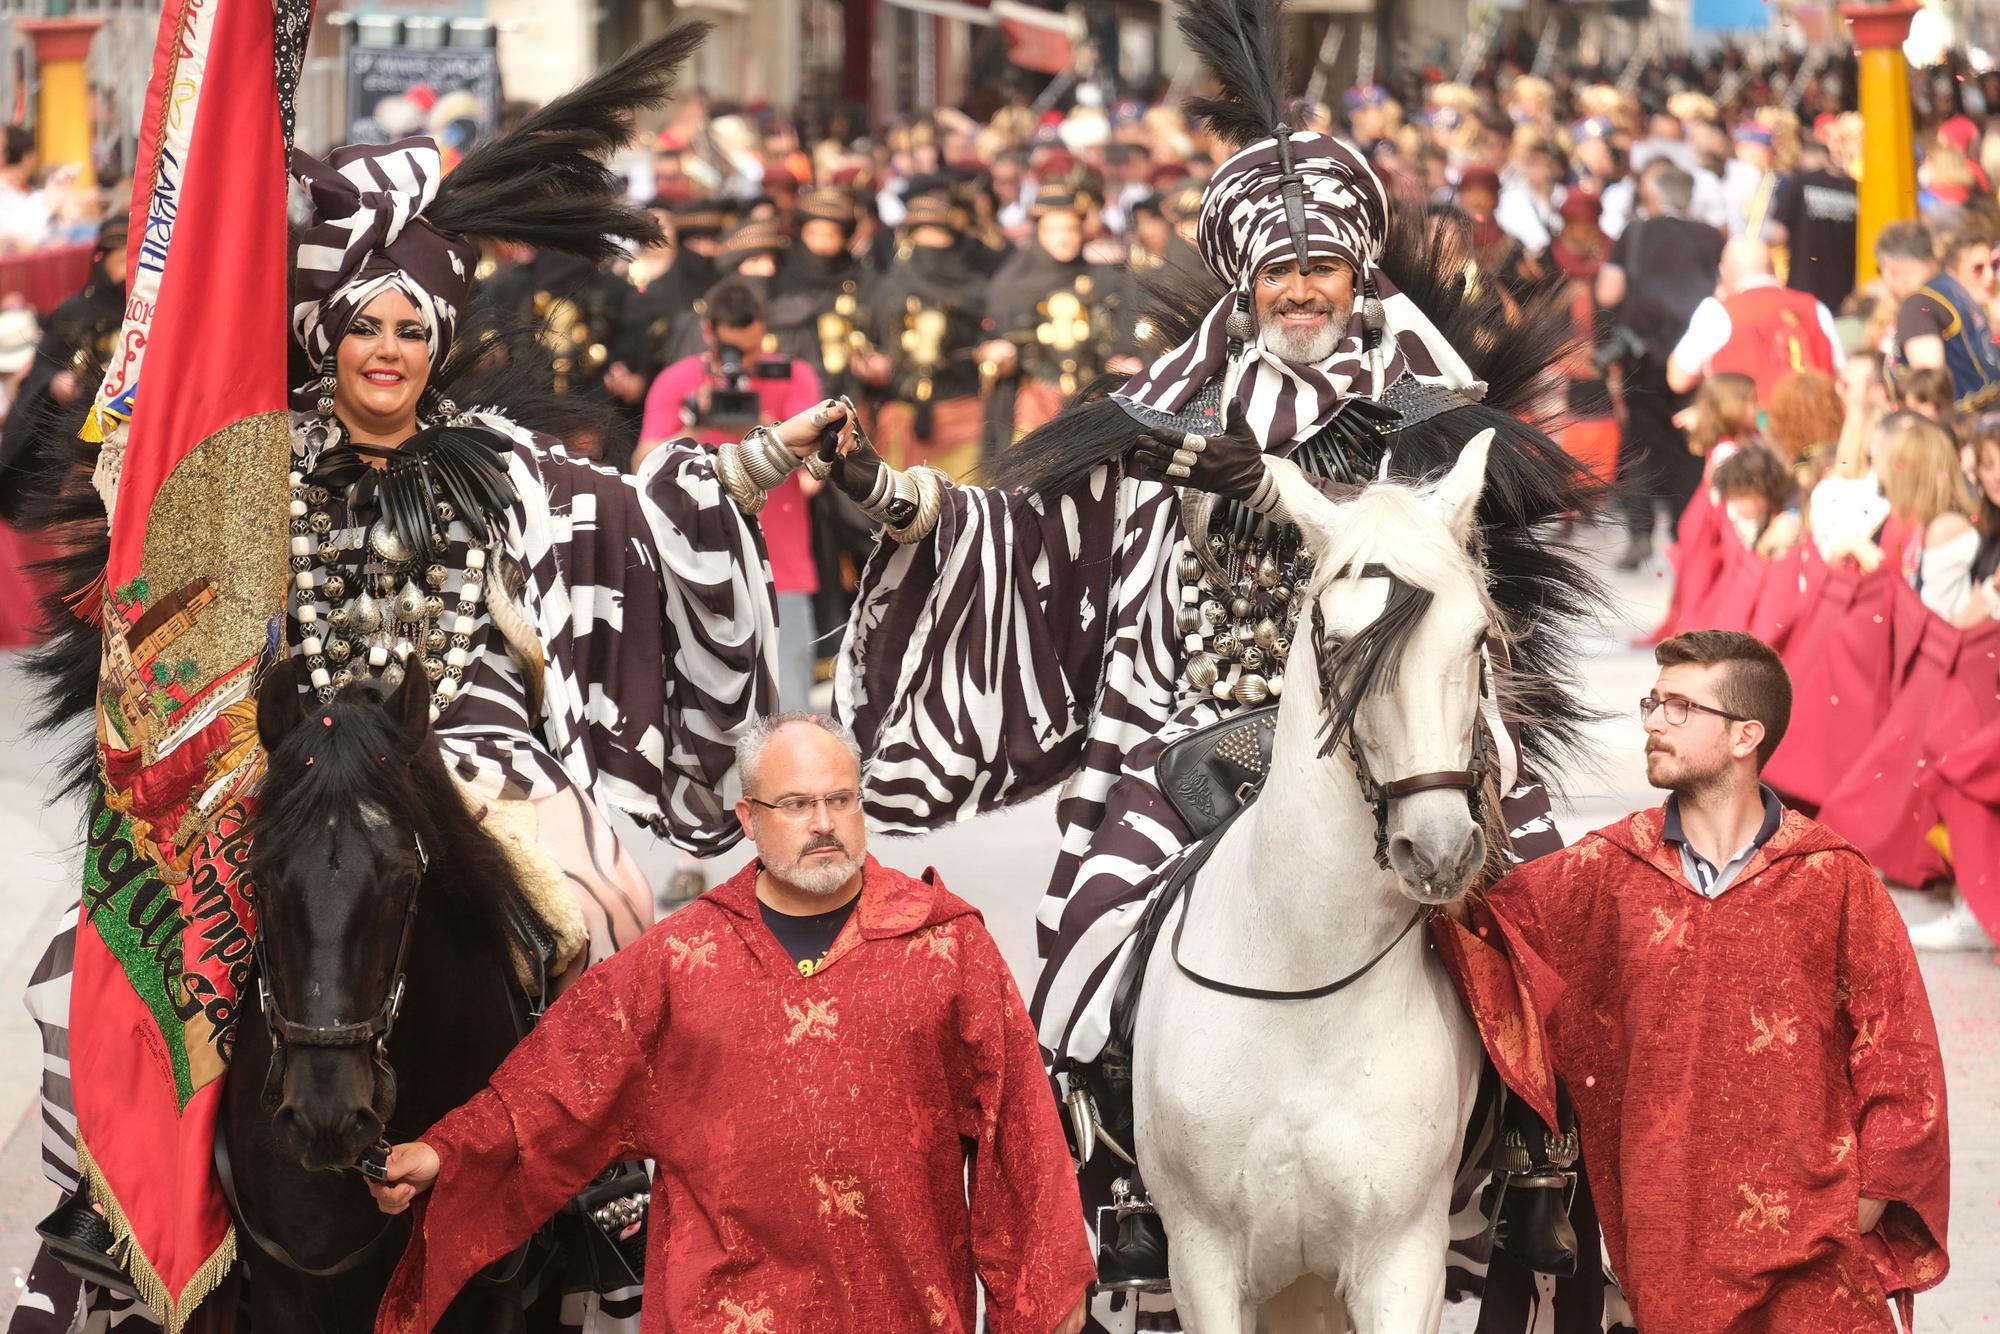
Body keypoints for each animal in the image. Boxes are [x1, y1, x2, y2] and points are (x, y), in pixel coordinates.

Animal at [1136, 434, 1504, 1328]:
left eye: (1476, 639)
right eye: (1337, 644)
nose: (1438, 851)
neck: (1308, 982)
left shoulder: (1403, 1259)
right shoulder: (1201, 1260)